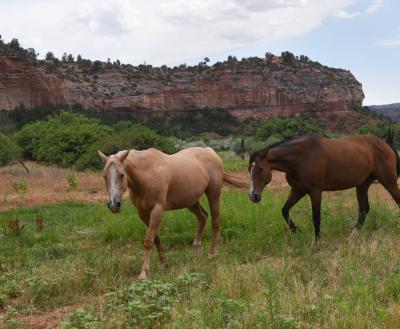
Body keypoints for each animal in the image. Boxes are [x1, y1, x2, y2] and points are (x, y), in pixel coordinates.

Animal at [98, 147, 245, 278]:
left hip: (213, 194)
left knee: (215, 222)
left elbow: (148, 241)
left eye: (122, 174)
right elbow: (156, 238)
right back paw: (197, 250)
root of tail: (211, 152)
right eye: (104, 176)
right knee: (203, 217)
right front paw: (162, 263)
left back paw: (212, 254)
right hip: (191, 201)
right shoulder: (143, 213)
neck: (147, 173)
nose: (114, 205)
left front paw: (144, 273)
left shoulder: (157, 210)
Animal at [248, 133, 398, 238]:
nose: (253, 195)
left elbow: (316, 218)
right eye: (249, 169)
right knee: (364, 210)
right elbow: (284, 210)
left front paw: (317, 242)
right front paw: (297, 231)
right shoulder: (298, 190)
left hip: (389, 181)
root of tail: (385, 144)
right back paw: (352, 237)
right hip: (362, 185)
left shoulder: (315, 191)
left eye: (260, 169)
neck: (300, 157)